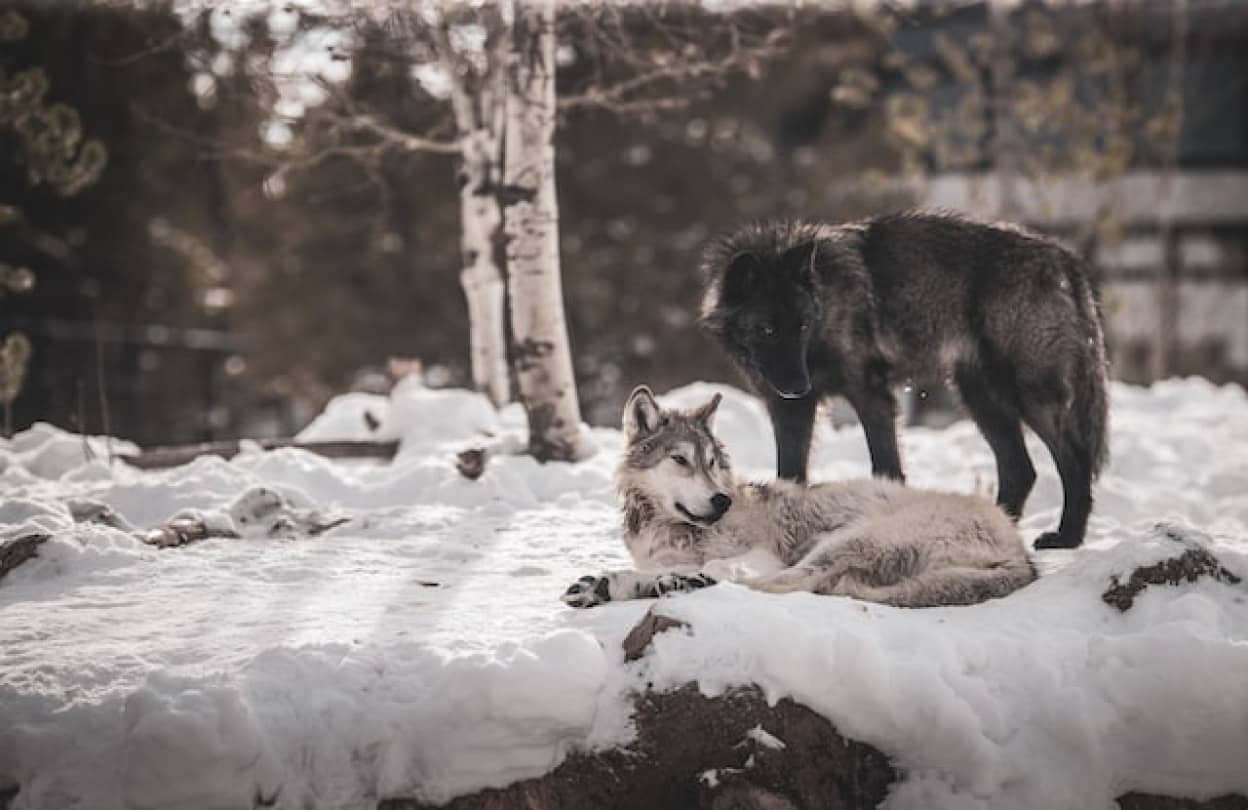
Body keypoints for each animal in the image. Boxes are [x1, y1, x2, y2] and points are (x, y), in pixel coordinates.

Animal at [564, 384, 1033, 606]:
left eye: (712, 462)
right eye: (680, 460)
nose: (721, 501)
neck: (670, 529)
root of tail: (1021, 552)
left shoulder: (761, 554)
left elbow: (723, 566)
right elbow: (665, 569)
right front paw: (612, 584)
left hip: (846, 540)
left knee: (785, 584)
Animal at [703, 208, 1113, 549]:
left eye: (801, 325)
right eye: (768, 330)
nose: (798, 386)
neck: (827, 301)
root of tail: (1064, 257)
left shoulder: (870, 395)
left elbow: (886, 466)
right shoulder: (789, 410)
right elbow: (790, 474)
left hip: (1028, 394)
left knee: (1075, 460)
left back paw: (1067, 537)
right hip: (980, 398)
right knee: (1020, 470)